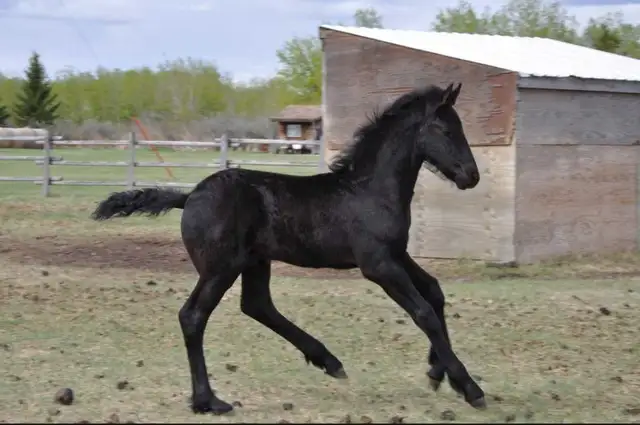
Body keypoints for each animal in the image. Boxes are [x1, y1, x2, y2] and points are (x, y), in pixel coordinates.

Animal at [91, 82, 485, 414]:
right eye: (447, 130)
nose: (472, 176)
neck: (369, 190)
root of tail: (190, 196)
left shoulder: (397, 255)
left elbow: (434, 292)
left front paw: (437, 372)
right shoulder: (378, 265)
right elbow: (423, 312)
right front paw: (469, 387)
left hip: (254, 261)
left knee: (257, 305)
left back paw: (329, 361)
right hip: (220, 268)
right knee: (193, 316)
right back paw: (208, 400)